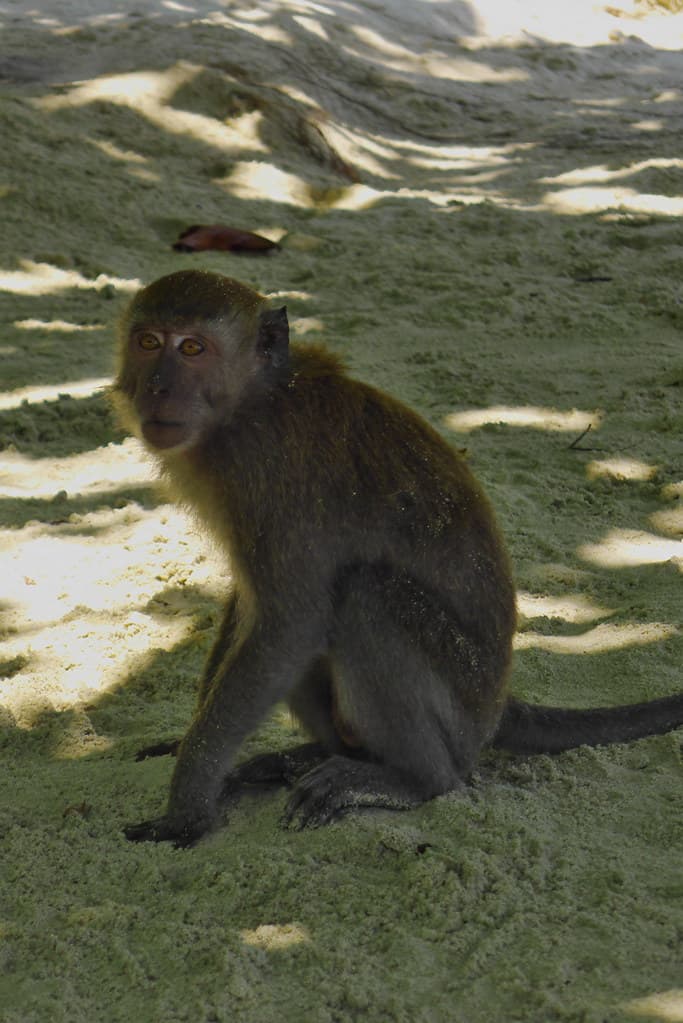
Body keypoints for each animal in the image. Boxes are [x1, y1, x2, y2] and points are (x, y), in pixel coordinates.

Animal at [111, 269, 683, 847]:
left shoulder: (270, 472)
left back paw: (412, 779)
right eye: (149, 342)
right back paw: (319, 756)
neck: (255, 400)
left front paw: (188, 807)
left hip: (459, 706)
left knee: (364, 598)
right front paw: (184, 742)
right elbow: (250, 604)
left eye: (193, 348)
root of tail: (496, 707)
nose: (156, 386)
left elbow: (288, 624)